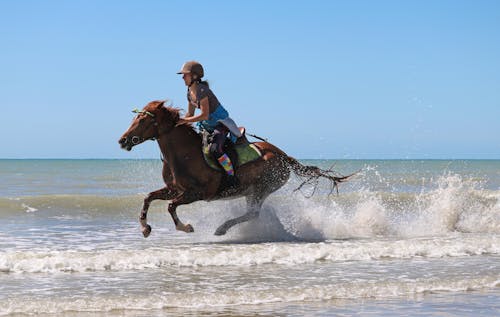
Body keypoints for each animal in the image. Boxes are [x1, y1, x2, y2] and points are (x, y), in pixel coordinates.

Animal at [118, 100, 352, 236]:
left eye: (142, 120)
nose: (122, 140)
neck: (184, 154)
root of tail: (283, 156)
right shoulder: (175, 189)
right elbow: (149, 198)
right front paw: (145, 228)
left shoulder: (197, 193)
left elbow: (170, 206)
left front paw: (185, 227)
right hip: (252, 191)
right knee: (252, 213)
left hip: (262, 188)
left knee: (253, 213)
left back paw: (222, 228)